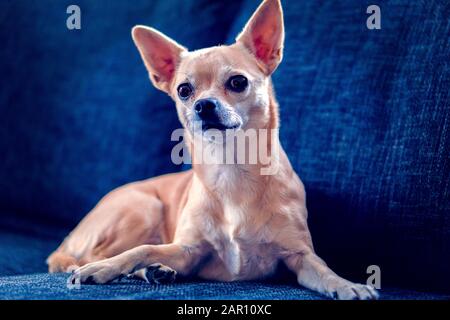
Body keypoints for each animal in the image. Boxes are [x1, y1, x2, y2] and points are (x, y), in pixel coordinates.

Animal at [48, 0, 380, 300]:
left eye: (238, 82)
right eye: (184, 90)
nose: (203, 105)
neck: (231, 169)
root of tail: (66, 240)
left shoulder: (299, 256)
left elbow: (323, 269)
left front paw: (346, 285)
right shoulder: (187, 251)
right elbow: (141, 250)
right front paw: (106, 268)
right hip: (144, 208)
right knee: (94, 254)